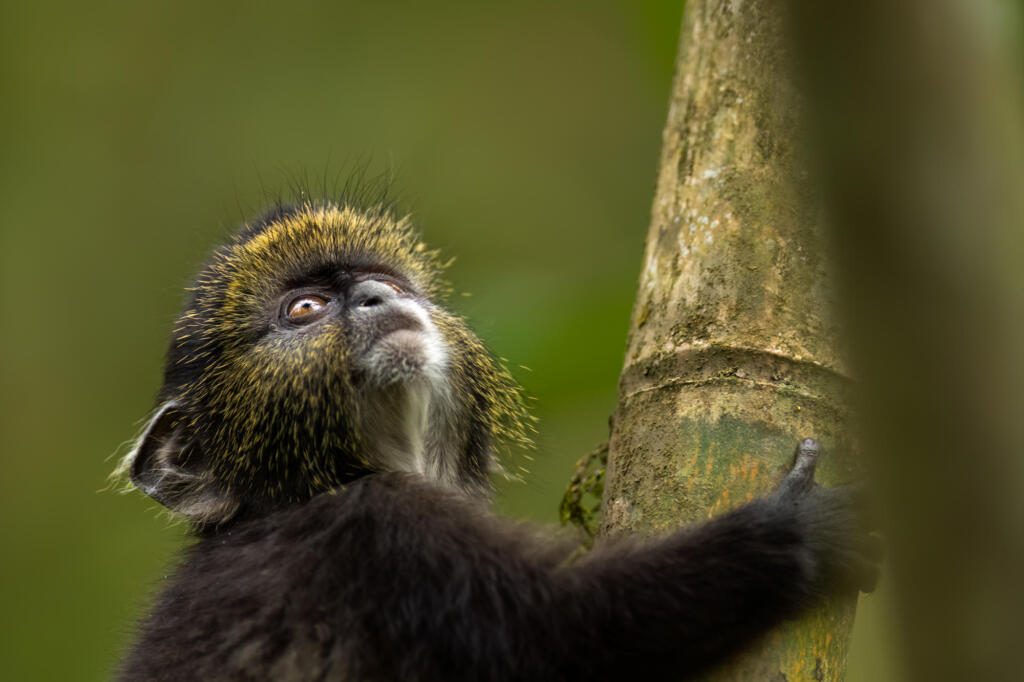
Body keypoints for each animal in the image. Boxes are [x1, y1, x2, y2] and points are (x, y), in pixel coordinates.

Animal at [115, 200, 879, 681]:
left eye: (382, 282)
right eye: (305, 309)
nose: (378, 297)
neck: (301, 491)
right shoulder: (383, 530)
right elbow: (567, 632)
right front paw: (797, 531)